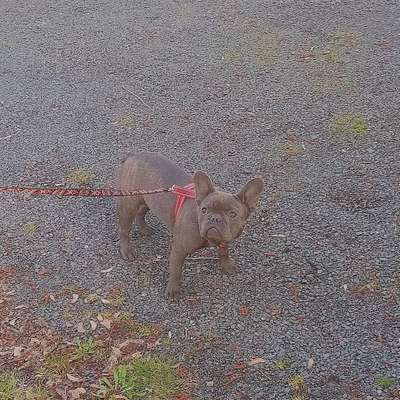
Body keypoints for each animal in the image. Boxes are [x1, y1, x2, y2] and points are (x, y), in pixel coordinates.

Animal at [115, 153, 264, 300]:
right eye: (204, 210)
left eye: (232, 214)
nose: (214, 218)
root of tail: (133, 156)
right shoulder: (179, 250)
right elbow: (176, 271)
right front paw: (174, 290)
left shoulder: (224, 239)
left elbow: (224, 250)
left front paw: (227, 264)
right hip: (129, 203)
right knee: (124, 229)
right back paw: (127, 250)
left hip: (149, 198)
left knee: (141, 211)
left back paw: (144, 229)